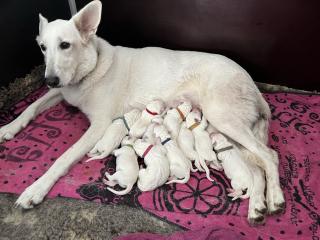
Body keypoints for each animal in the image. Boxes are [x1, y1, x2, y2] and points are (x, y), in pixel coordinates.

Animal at [0, 0, 284, 224]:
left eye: (65, 45)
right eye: (42, 47)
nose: (49, 79)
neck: (92, 67)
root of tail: (253, 84)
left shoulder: (98, 126)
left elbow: (62, 158)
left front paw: (35, 189)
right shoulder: (61, 92)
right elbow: (31, 107)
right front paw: (8, 128)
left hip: (223, 119)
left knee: (270, 156)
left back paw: (276, 199)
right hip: (228, 132)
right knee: (257, 169)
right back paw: (256, 207)